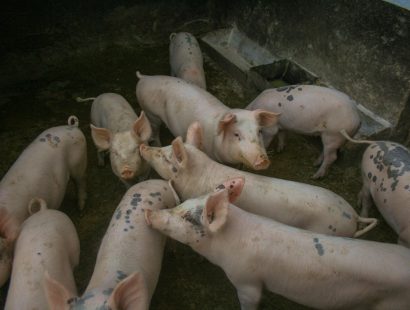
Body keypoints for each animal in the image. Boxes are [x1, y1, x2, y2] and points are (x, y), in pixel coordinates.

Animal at [136, 71, 280, 171]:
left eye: (260, 131)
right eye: (236, 134)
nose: (263, 160)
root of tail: (145, 78)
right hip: (150, 113)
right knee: (154, 130)